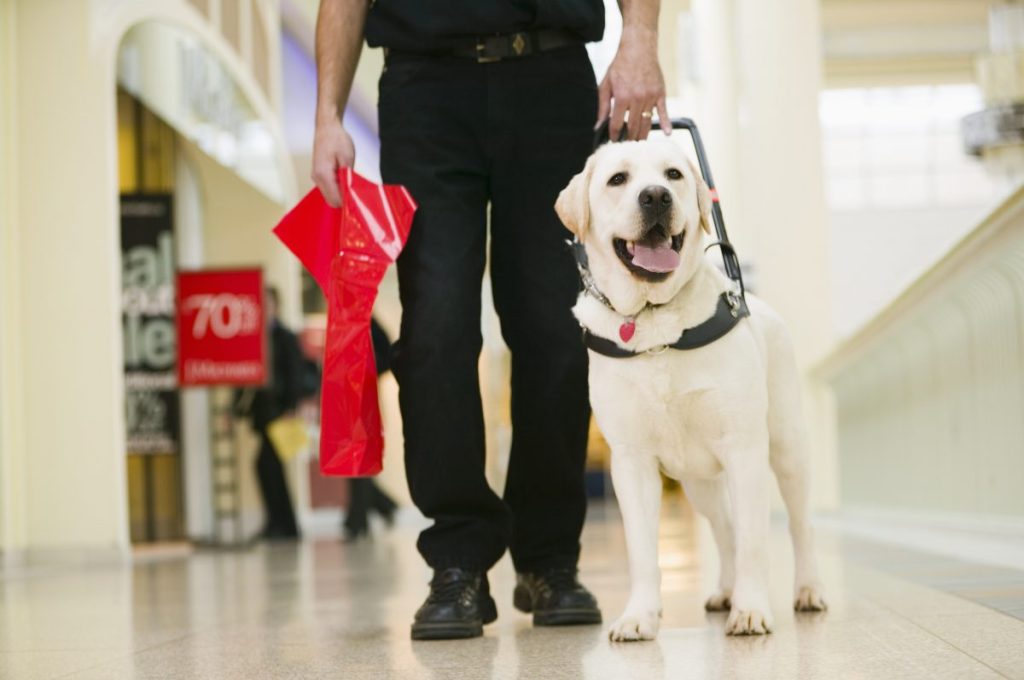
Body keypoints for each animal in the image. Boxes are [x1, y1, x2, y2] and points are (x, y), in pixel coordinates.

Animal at [557, 137, 827, 639]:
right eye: (618, 179)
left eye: (673, 174)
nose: (656, 197)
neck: (652, 320)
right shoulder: (632, 463)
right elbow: (644, 551)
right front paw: (640, 616)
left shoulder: (744, 449)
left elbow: (754, 541)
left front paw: (752, 609)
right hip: (698, 480)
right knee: (723, 528)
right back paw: (724, 590)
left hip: (786, 450)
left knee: (799, 526)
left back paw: (808, 589)